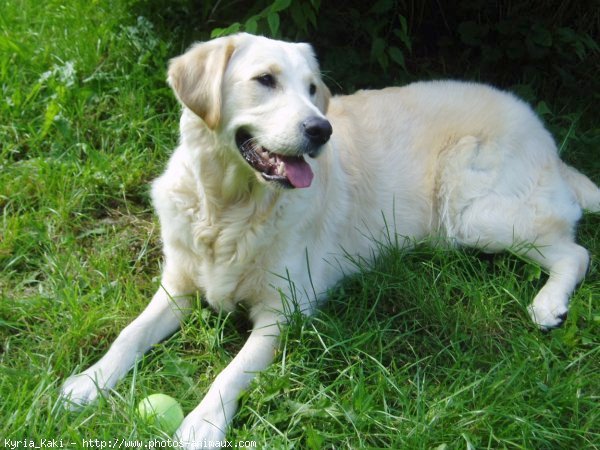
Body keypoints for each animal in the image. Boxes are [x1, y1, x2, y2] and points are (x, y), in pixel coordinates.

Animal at [62, 34, 600, 446]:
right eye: (265, 80)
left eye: (311, 88)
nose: (321, 129)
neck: (229, 209)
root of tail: (546, 138)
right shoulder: (178, 286)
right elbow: (130, 333)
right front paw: (89, 382)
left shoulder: (283, 312)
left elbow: (230, 372)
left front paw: (201, 425)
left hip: (474, 214)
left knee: (576, 249)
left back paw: (549, 304)